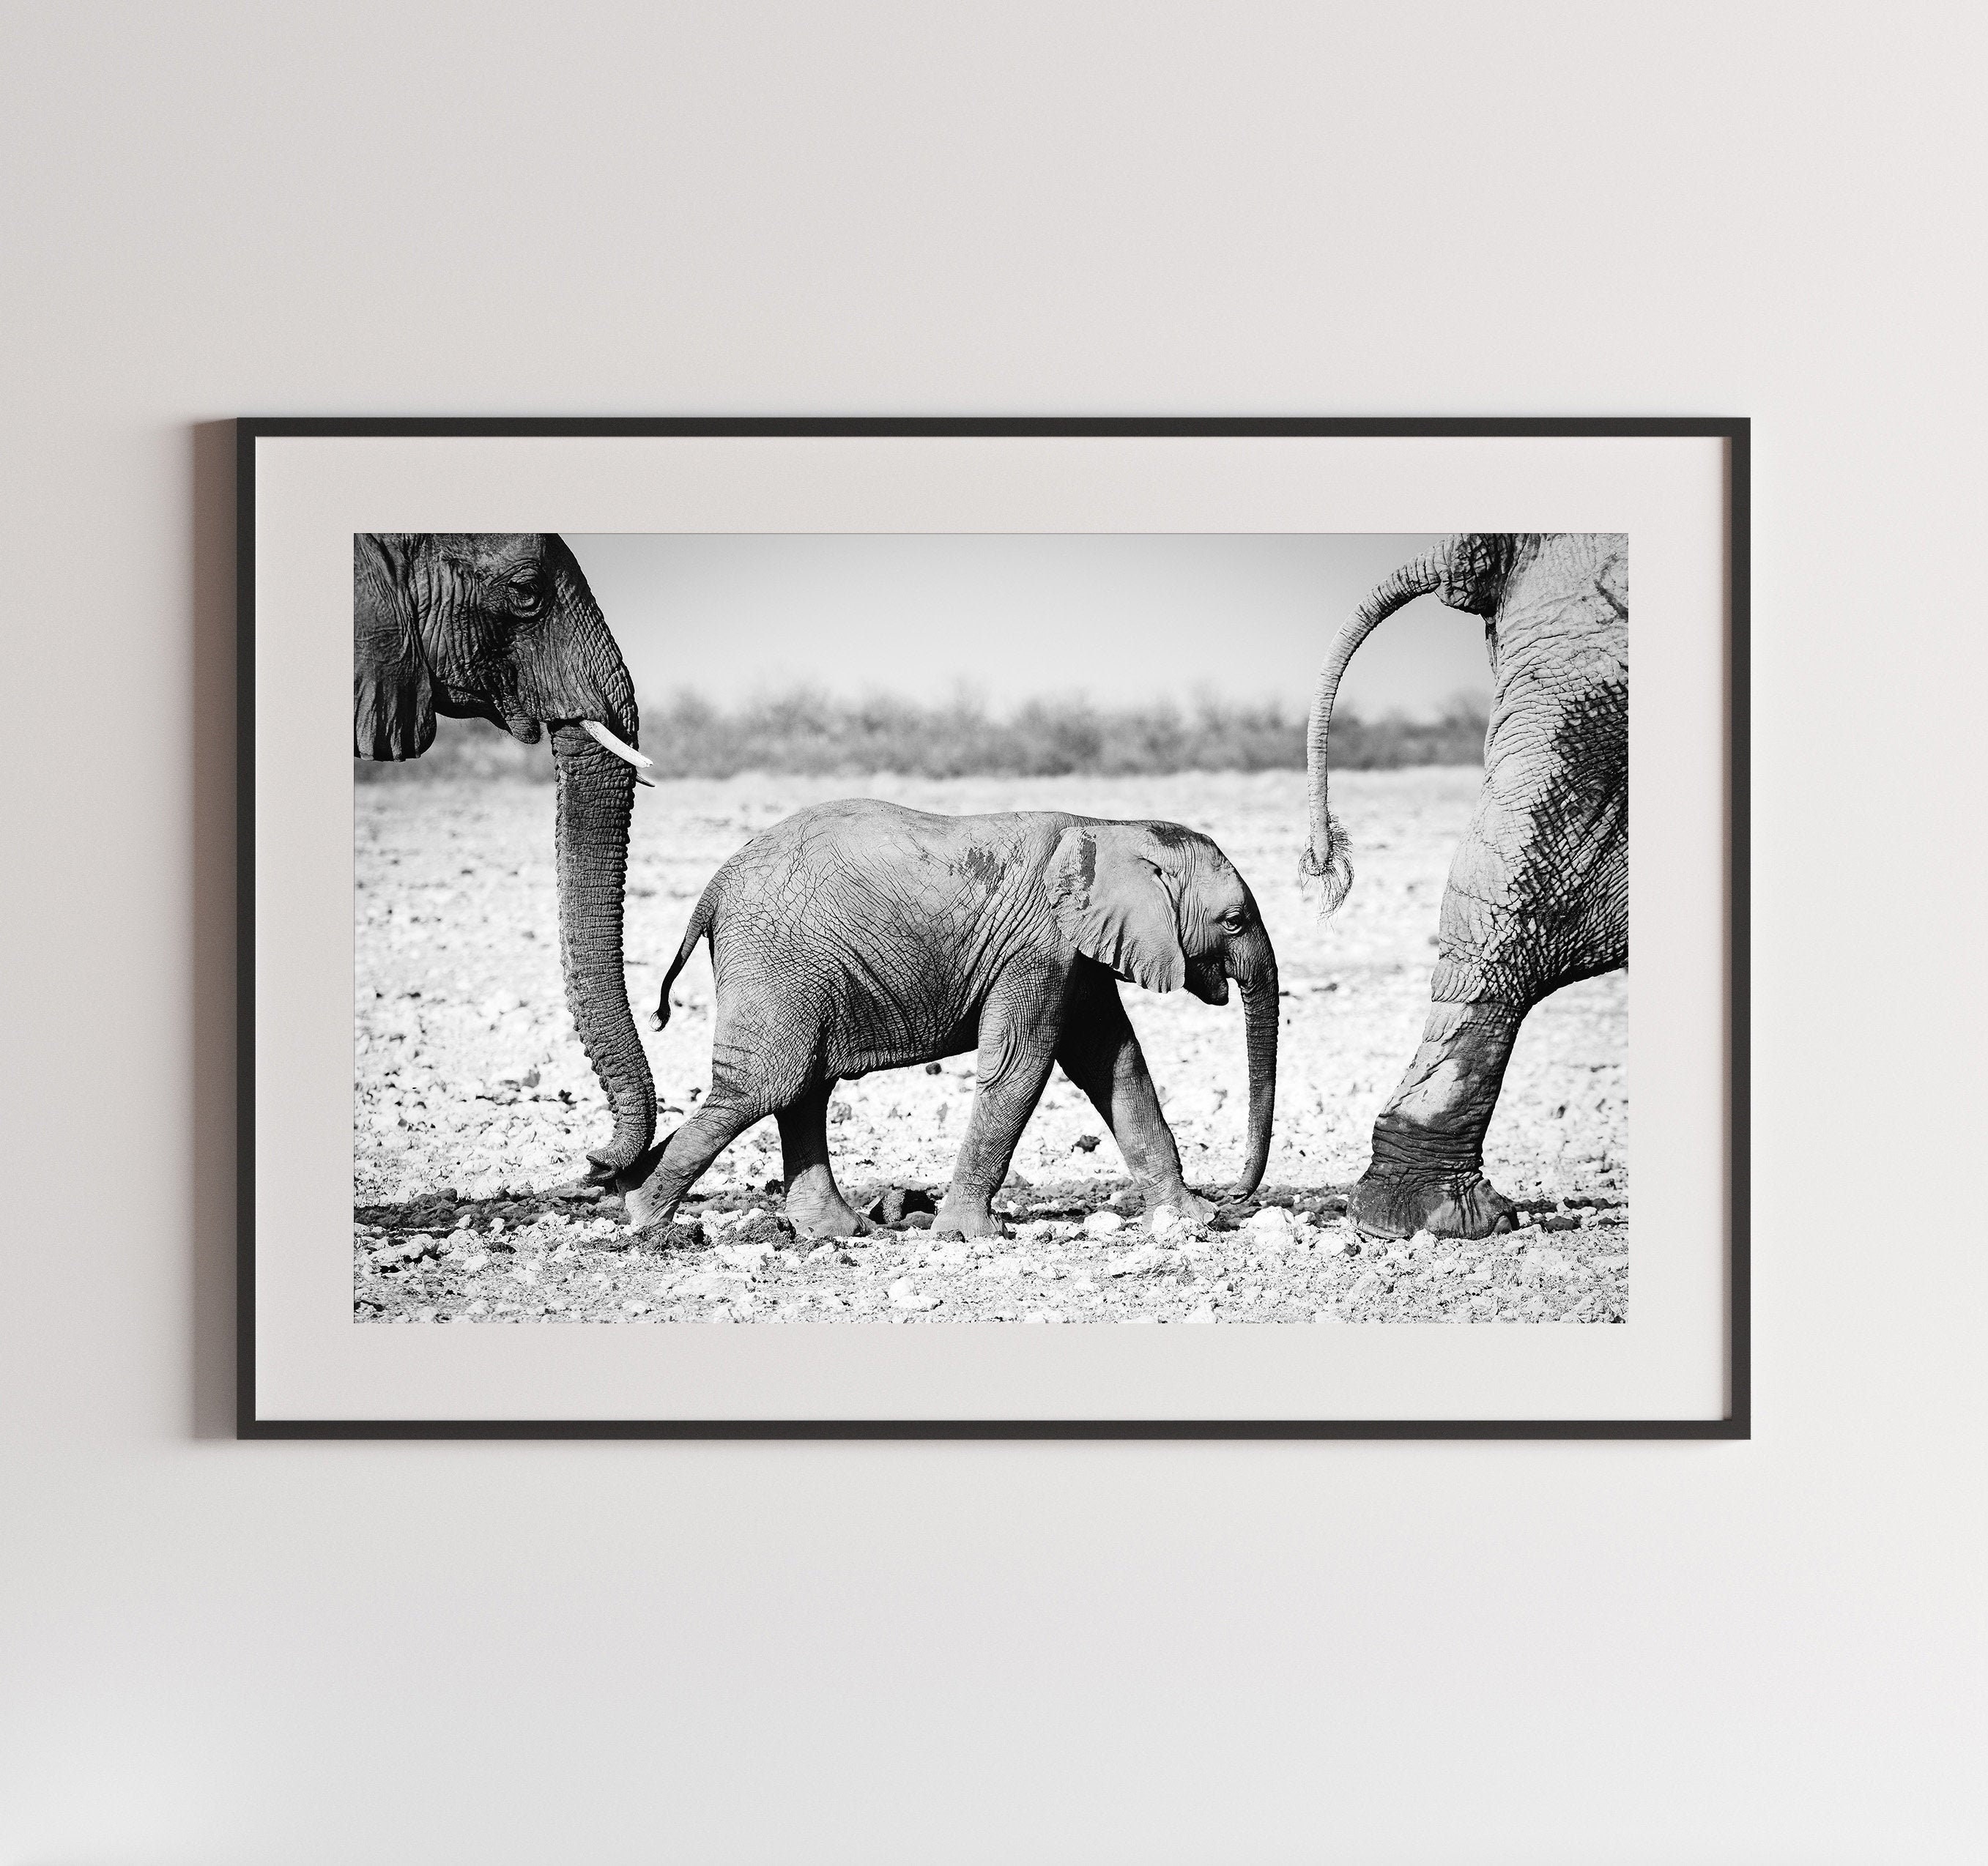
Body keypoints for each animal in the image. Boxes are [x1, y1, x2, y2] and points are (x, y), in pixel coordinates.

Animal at [620, 800, 1280, 1240]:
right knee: (766, 1085)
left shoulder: (1077, 953)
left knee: (803, 1089)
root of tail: (714, 886)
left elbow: (1114, 1066)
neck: (1112, 829)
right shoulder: (1037, 947)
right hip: (779, 962)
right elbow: (1020, 1068)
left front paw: (1192, 1220)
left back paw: (841, 1231)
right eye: (1234, 921)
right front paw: (971, 1235)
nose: (1233, 1193)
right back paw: (647, 1220)